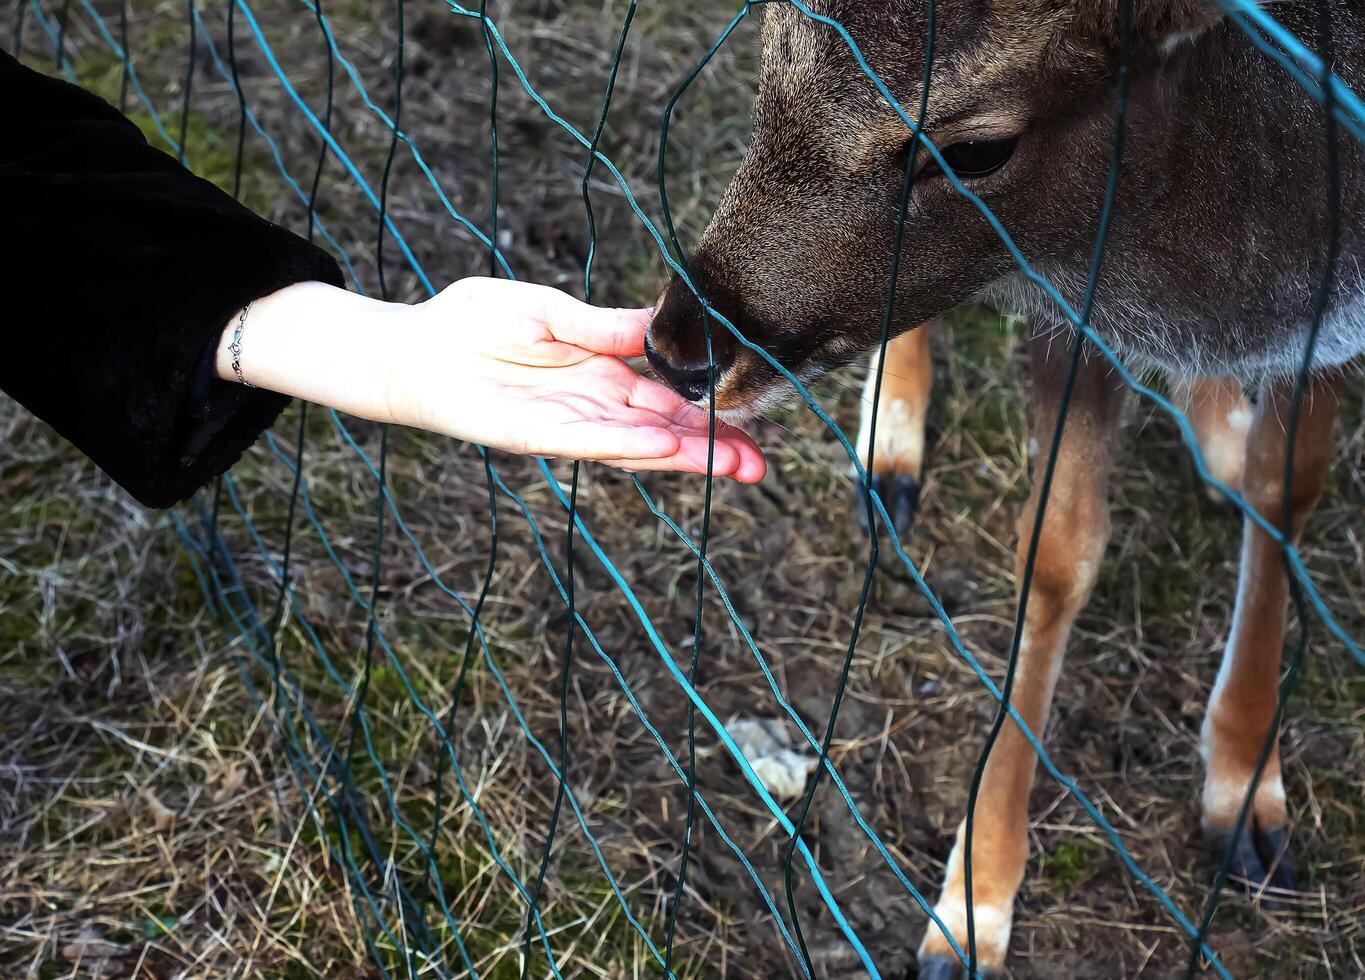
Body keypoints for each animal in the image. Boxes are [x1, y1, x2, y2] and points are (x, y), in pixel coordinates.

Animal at [641, 3, 1365, 977]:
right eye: (766, 42)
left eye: (976, 151)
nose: (676, 351)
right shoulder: (1072, 302)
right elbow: (1057, 554)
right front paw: (969, 908)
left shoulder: (1325, 332)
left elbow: (1286, 500)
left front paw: (1247, 803)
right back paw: (889, 455)